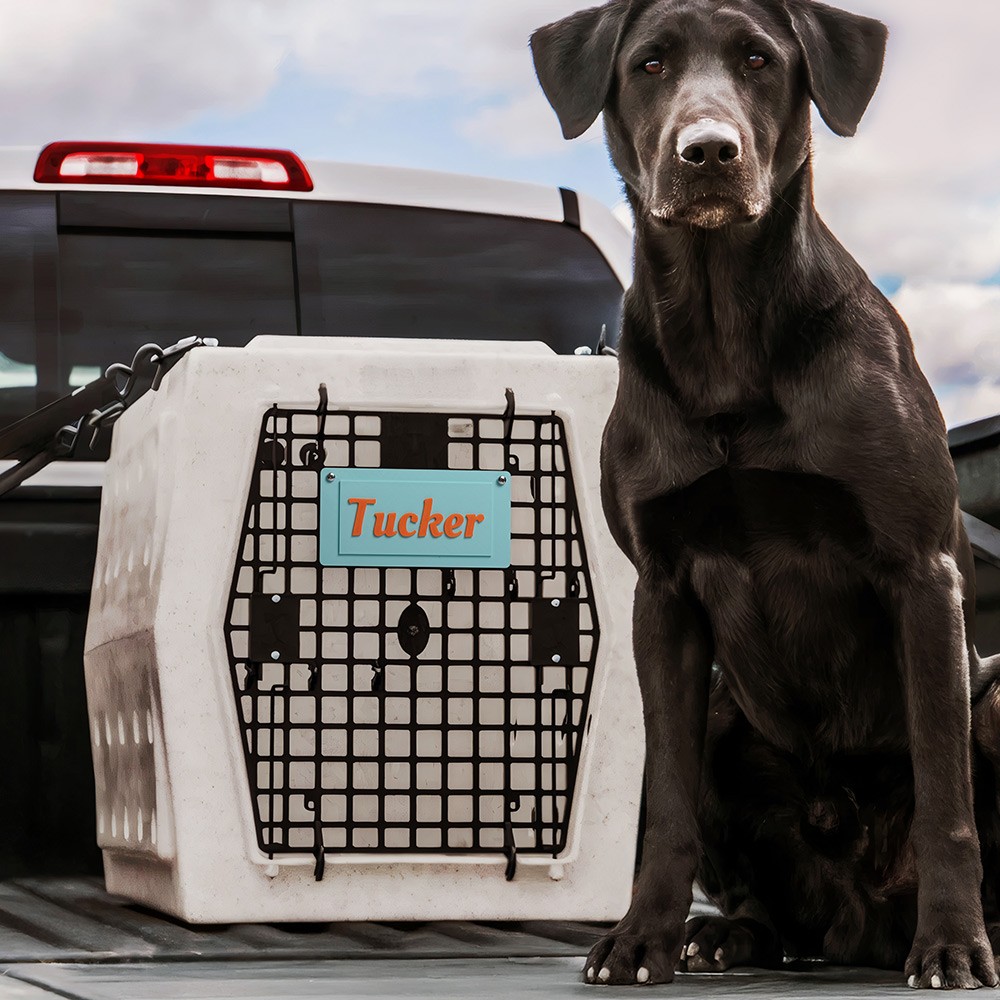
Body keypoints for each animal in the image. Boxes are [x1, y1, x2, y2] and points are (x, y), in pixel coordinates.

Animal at [540, 0, 1000, 988]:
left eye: (758, 60)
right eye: (649, 64)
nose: (707, 150)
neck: (726, 340)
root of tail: (863, 926)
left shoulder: (922, 575)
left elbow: (946, 800)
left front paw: (952, 944)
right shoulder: (664, 594)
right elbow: (668, 808)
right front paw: (643, 938)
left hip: (994, 688)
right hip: (724, 712)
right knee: (777, 912)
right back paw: (728, 936)